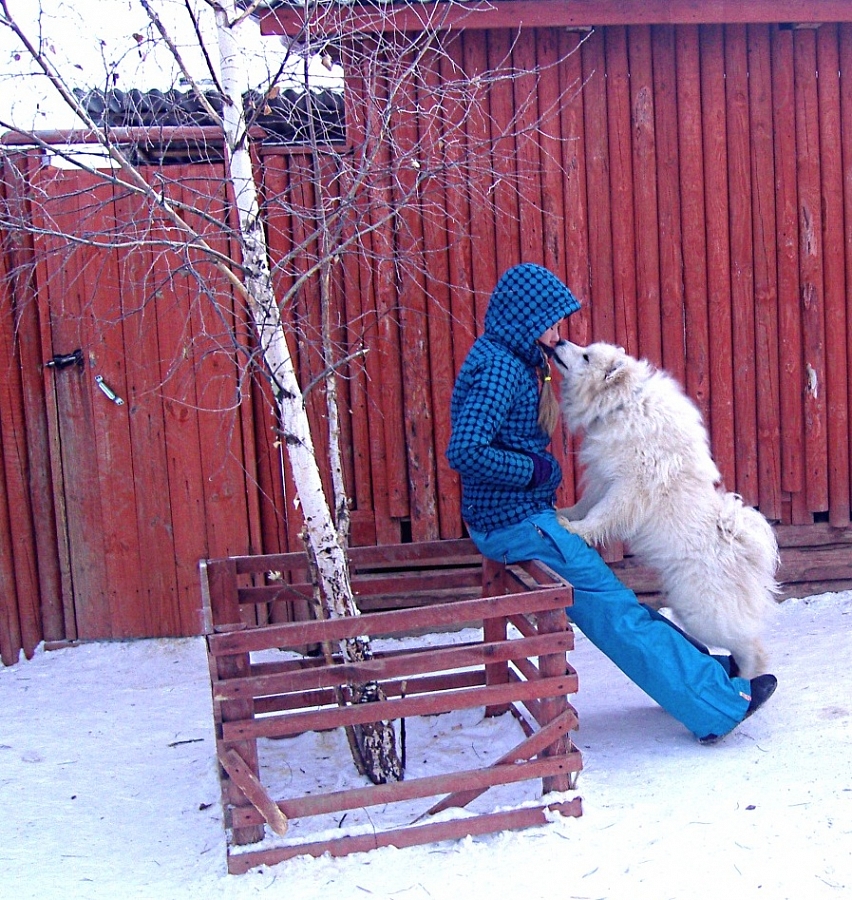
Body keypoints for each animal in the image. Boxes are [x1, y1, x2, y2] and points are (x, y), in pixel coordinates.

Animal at [552, 342, 780, 680]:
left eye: (586, 356)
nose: (557, 342)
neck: (621, 404)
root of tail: (741, 549)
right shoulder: (604, 479)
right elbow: (586, 505)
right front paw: (564, 513)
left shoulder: (629, 485)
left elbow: (602, 515)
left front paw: (574, 530)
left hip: (702, 613)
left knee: (752, 647)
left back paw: (747, 681)